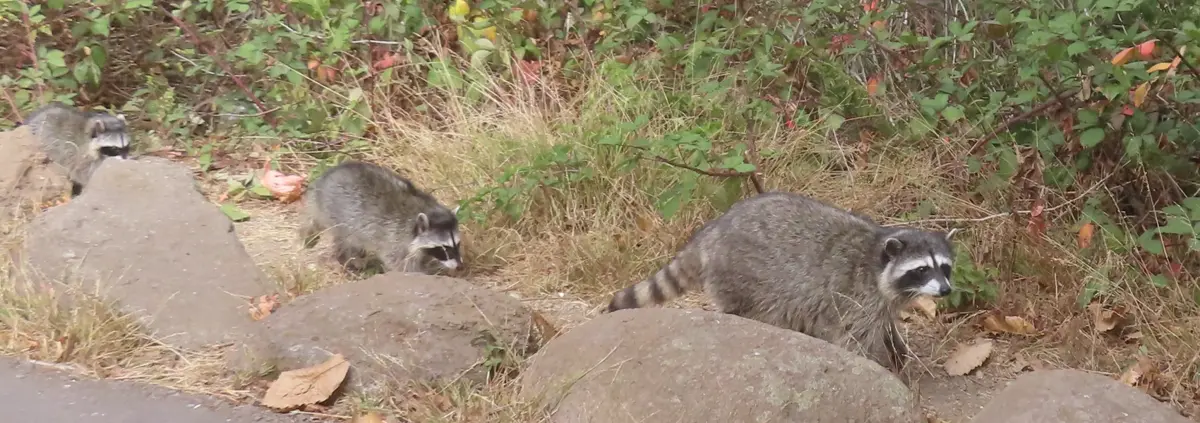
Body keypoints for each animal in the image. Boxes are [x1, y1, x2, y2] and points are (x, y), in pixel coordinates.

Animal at [298, 160, 463, 275]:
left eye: (457, 244)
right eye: (444, 248)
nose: (460, 266)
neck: (426, 209)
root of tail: (322, 181)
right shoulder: (395, 239)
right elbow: (401, 265)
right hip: (338, 218)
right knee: (345, 243)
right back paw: (350, 261)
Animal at [604, 191, 957, 373]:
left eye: (945, 269)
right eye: (922, 270)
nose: (945, 290)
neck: (878, 253)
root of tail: (713, 232)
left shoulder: (880, 302)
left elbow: (885, 326)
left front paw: (897, 348)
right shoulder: (855, 296)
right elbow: (853, 338)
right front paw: (878, 367)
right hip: (748, 279)